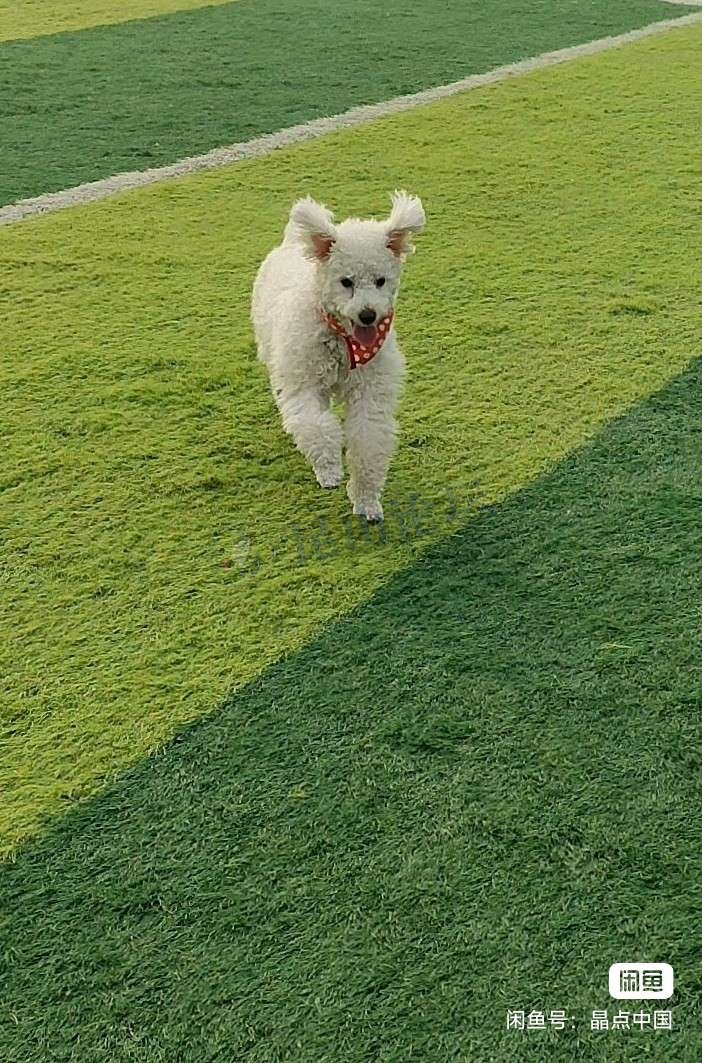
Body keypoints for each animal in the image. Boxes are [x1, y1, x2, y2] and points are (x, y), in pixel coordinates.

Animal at [251, 191, 425, 523]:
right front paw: (329, 469)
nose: (368, 315)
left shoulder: (370, 391)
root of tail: (294, 242)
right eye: (346, 281)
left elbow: (367, 441)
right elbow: (316, 427)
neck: (343, 339)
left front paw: (367, 500)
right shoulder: (303, 384)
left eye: (381, 281)